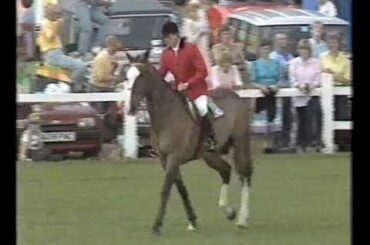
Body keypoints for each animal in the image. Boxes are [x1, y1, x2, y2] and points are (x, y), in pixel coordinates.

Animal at [125, 50, 253, 235]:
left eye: (141, 75)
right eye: (126, 76)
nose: (129, 108)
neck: (167, 115)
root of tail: (235, 95)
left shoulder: (174, 157)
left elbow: (165, 189)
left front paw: (157, 225)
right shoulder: (166, 159)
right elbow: (181, 189)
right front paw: (192, 221)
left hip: (240, 141)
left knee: (245, 175)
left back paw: (242, 219)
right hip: (209, 154)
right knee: (226, 170)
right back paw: (228, 211)